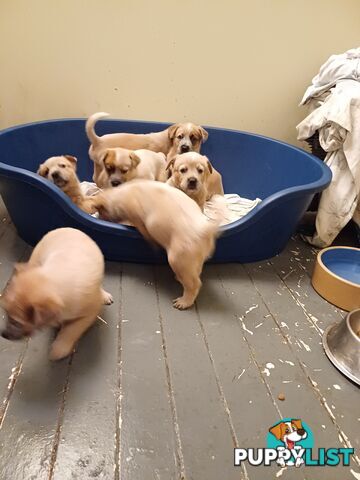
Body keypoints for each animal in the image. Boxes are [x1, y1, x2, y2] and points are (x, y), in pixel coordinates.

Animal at [0, 229, 112, 360]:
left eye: (17, 323)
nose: (3, 335)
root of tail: (66, 228)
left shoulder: (88, 315)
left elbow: (71, 331)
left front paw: (59, 349)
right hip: (36, 259)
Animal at [90, 181, 219, 312]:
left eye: (101, 210)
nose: (99, 217)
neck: (118, 196)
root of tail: (205, 231)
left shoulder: (135, 215)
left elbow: (142, 228)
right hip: (193, 259)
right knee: (195, 273)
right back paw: (178, 278)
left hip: (177, 258)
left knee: (195, 284)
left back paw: (182, 302)